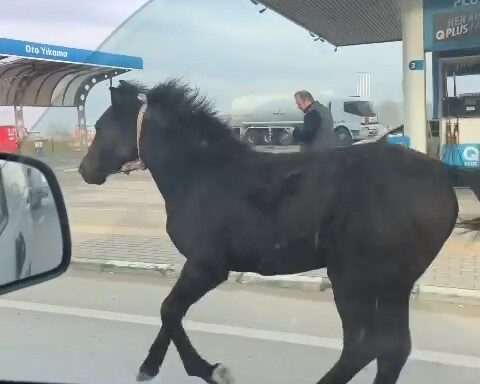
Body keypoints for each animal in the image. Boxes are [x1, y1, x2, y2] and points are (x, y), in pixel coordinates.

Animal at [78, 79, 480, 384]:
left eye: (99, 127)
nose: (85, 170)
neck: (202, 173)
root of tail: (443, 173)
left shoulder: (208, 266)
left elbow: (170, 309)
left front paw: (211, 370)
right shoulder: (199, 266)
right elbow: (171, 312)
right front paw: (149, 367)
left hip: (353, 277)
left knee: (363, 345)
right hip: (394, 282)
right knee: (393, 349)